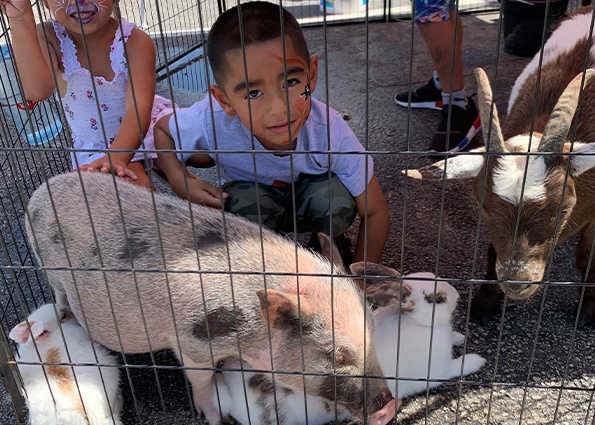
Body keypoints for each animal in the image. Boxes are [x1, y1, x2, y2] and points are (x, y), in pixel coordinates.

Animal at [352, 264, 486, 400]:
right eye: (436, 299)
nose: (457, 294)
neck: (416, 321)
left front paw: (460, 337)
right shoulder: (439, 372)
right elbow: (459, 366)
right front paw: (477, 360)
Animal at [408, 6, 595, 324]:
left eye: (565, 207)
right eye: (482, 205)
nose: (517, 282)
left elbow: (587, 257)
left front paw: (587, 308)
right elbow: (492, 251)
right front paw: (485, 301)